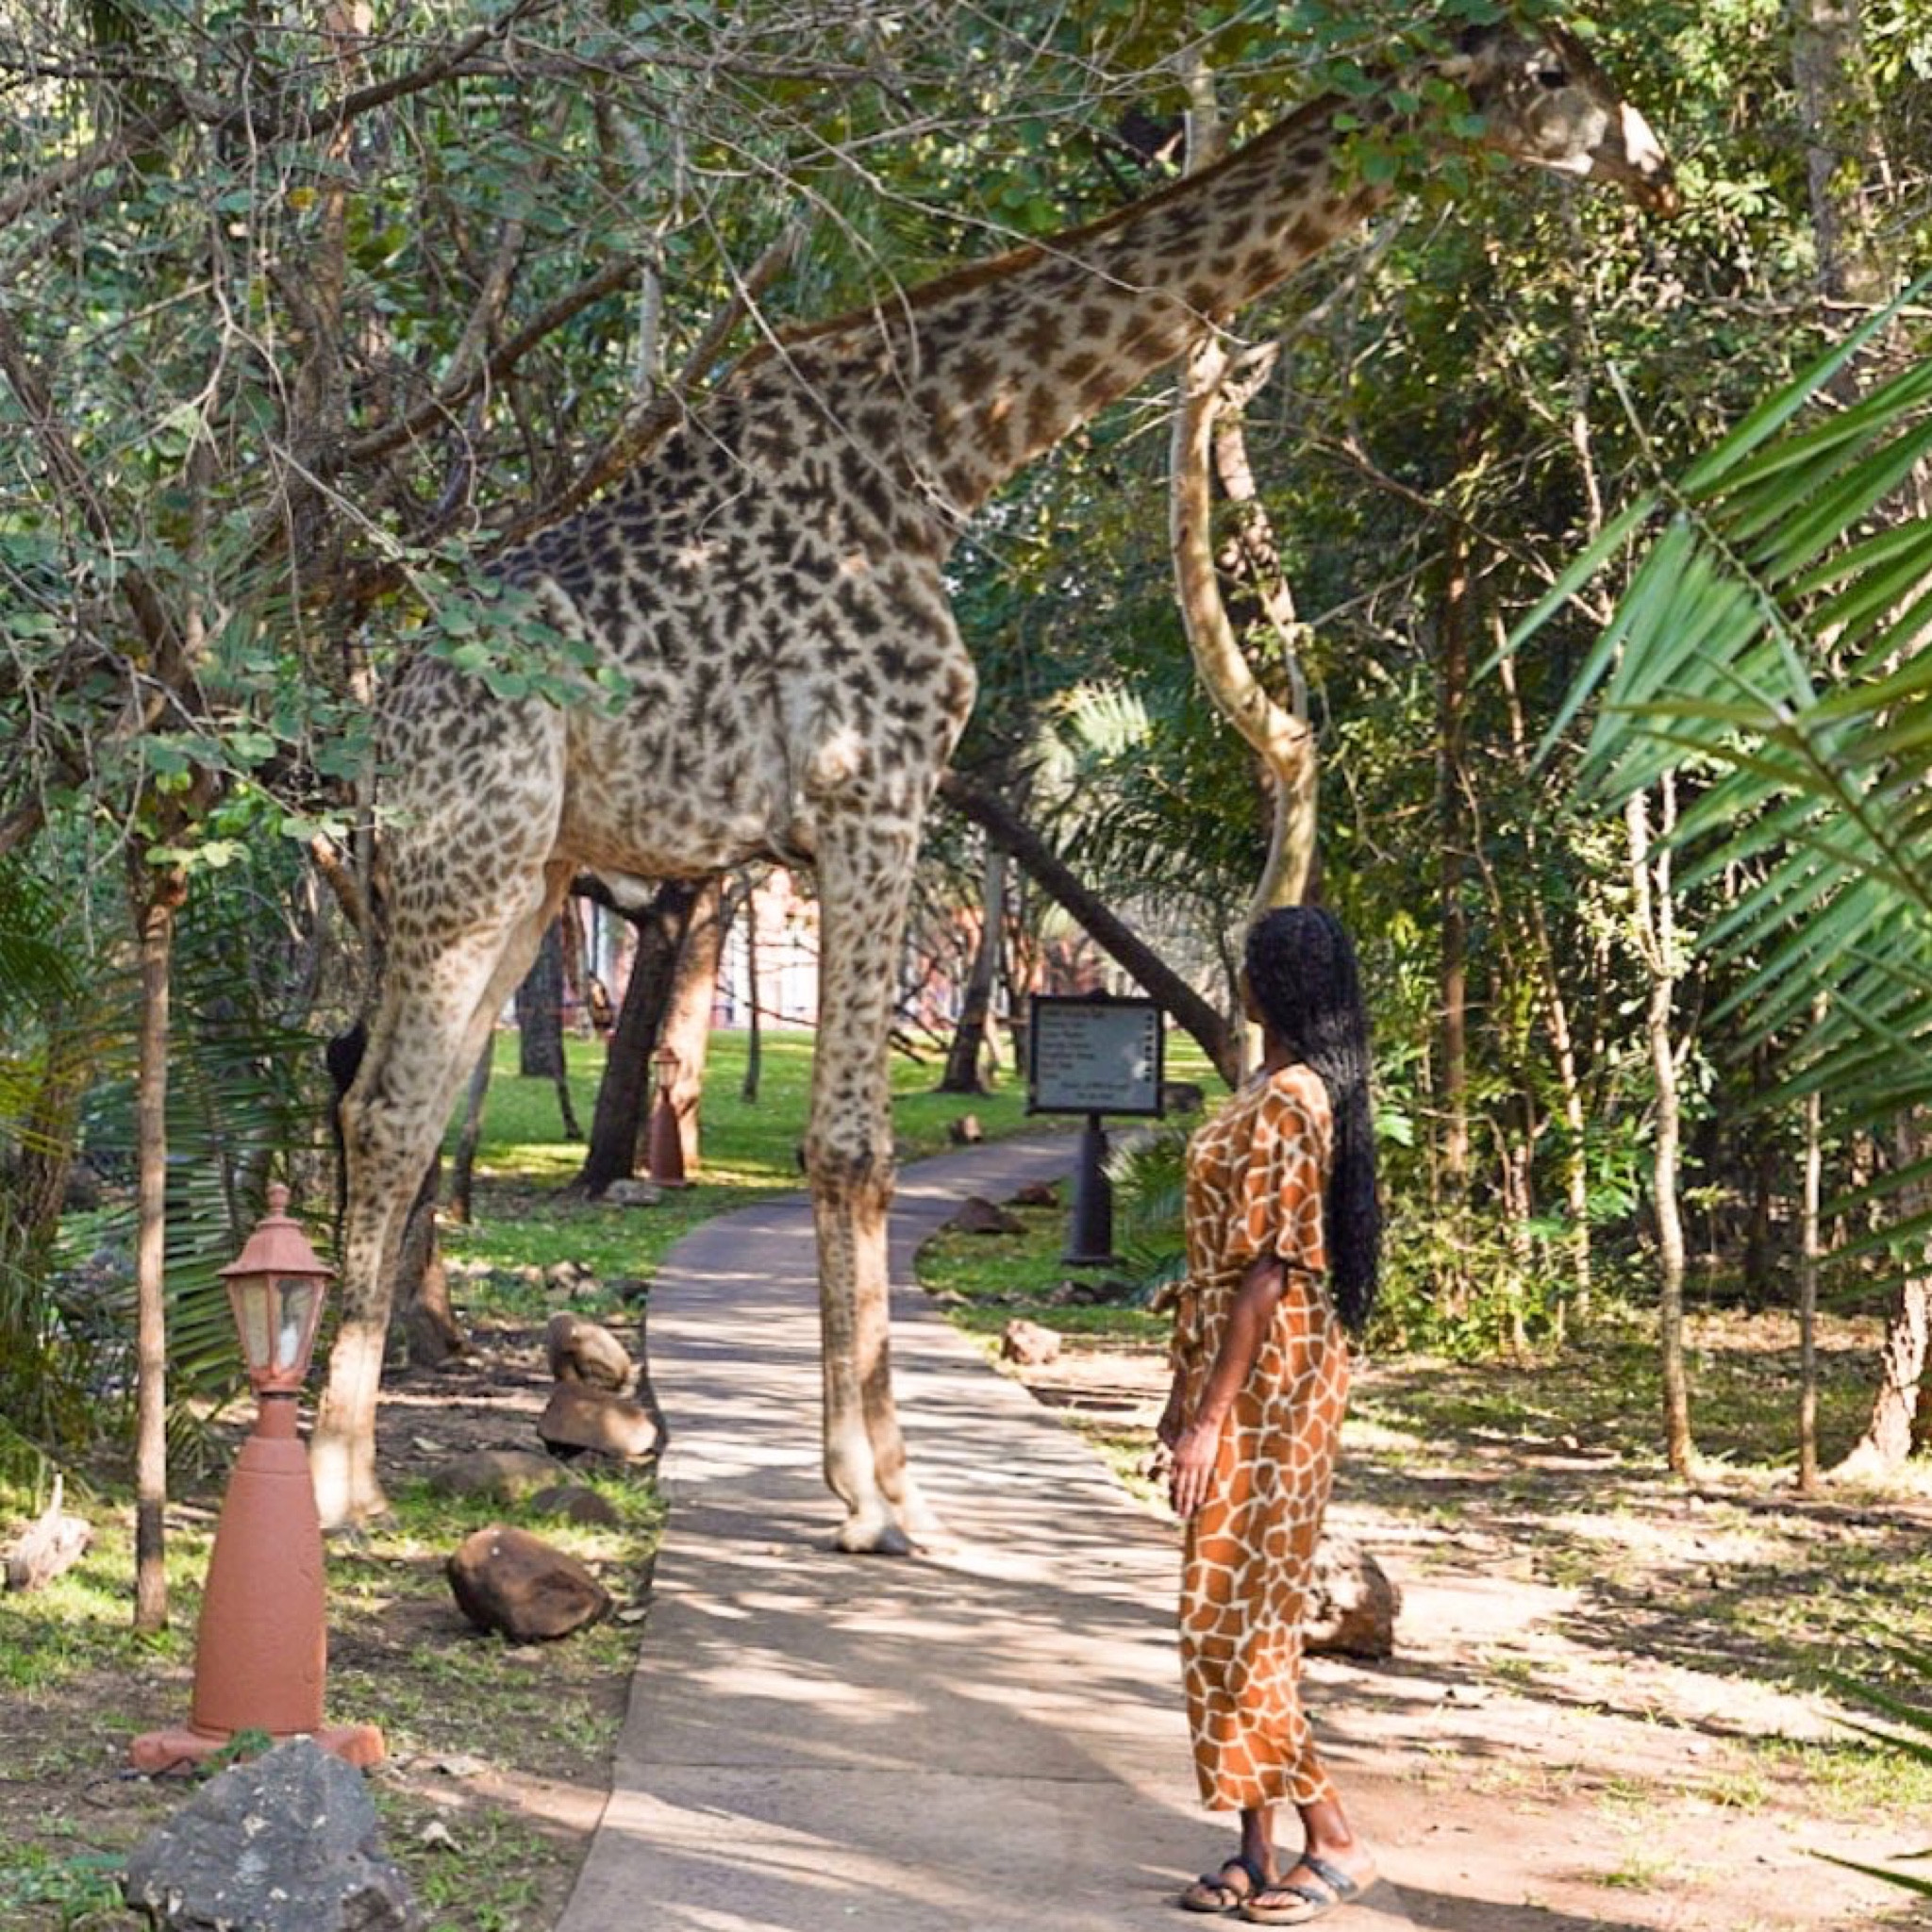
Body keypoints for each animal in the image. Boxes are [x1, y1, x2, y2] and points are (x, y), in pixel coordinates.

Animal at [313, 19, 1677, 1546]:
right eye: (1555, 72)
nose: (1653, 160)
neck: (952, 447)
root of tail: (382, 716)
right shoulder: (872, 780)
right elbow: (852, 1146)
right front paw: (876, 1500)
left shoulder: (862, 801)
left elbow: (844, 1145)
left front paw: (883, 1480)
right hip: (470, 857)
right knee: (388, 1105)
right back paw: (328, 1486)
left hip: (531, 871)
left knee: (396, 1106)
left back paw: (361, 1471)